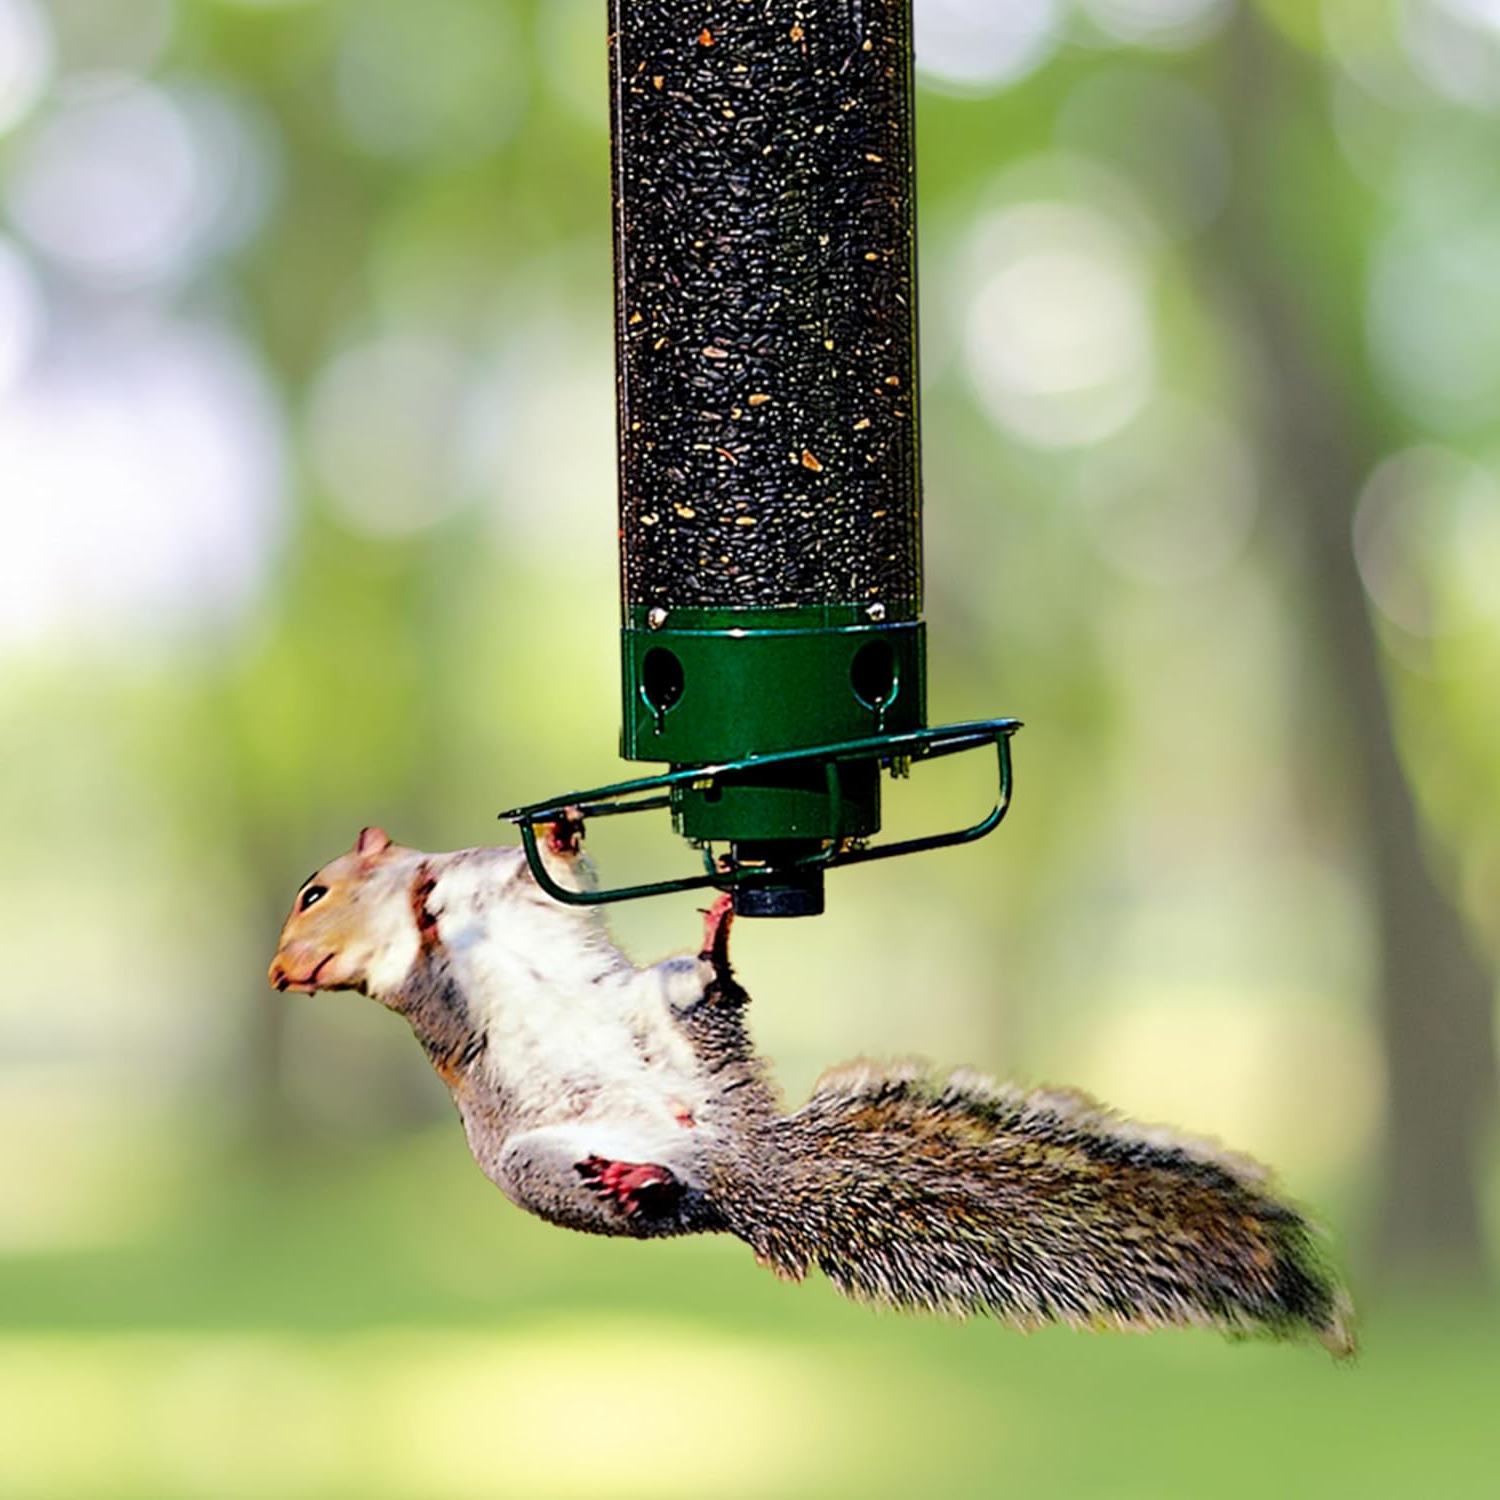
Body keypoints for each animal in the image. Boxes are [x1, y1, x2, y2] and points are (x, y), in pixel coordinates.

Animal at [268, 821, 1354, 1357]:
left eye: (313, 889)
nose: (285, 971)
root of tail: (731, 1162)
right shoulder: (425, 991)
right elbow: (427, 967)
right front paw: (418, 915)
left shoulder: (514, 880)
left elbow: (550, 866)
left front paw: (487, 863)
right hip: (542, 1168)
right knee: (657, 1197)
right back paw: (634, 1183)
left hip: (671, 1016)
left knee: (709, 996)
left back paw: (714, 946)